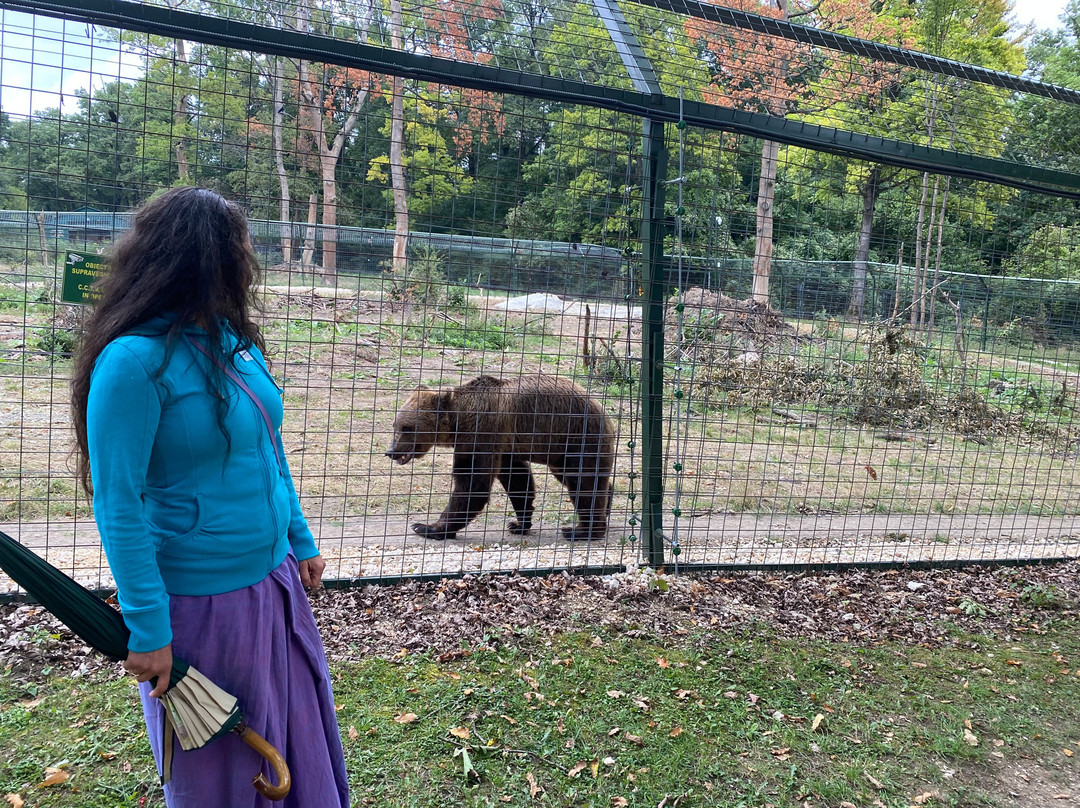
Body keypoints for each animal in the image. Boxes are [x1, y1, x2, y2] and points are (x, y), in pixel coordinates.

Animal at [385, 374, 615, 541]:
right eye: (395, 425)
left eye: (407, 428)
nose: (391, 451)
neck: (458, 421)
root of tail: (604, 412)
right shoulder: (505, 445)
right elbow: (517, 479)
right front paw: (519, 523)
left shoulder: (481, 433)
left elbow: (473, 483)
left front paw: (426, 527)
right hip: (561, 451)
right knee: (578, 478)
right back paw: (607, 506)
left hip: (579, 437)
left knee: (583, 483)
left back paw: (581, 531)